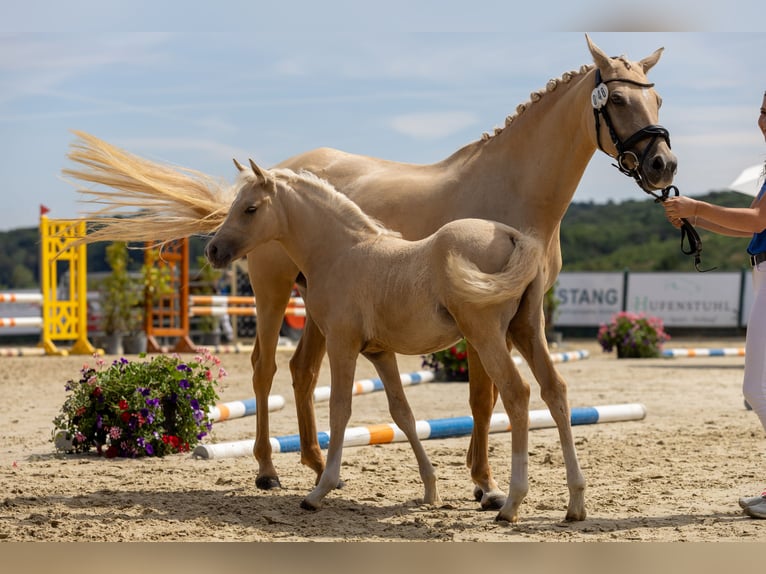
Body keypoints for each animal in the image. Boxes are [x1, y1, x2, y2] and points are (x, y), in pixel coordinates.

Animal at [206, 160, 548, 521]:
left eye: (250, 208)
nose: (213, 250)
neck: (341, 253)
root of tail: (512, 235)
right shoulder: (380, 353)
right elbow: (403, 414)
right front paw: (430, 489)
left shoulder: (342, 345)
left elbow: (340, 409)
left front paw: (321, 490)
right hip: (523, 331)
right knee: (551, 390)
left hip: (487, 336)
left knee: (517, 394)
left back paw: (508, 502)